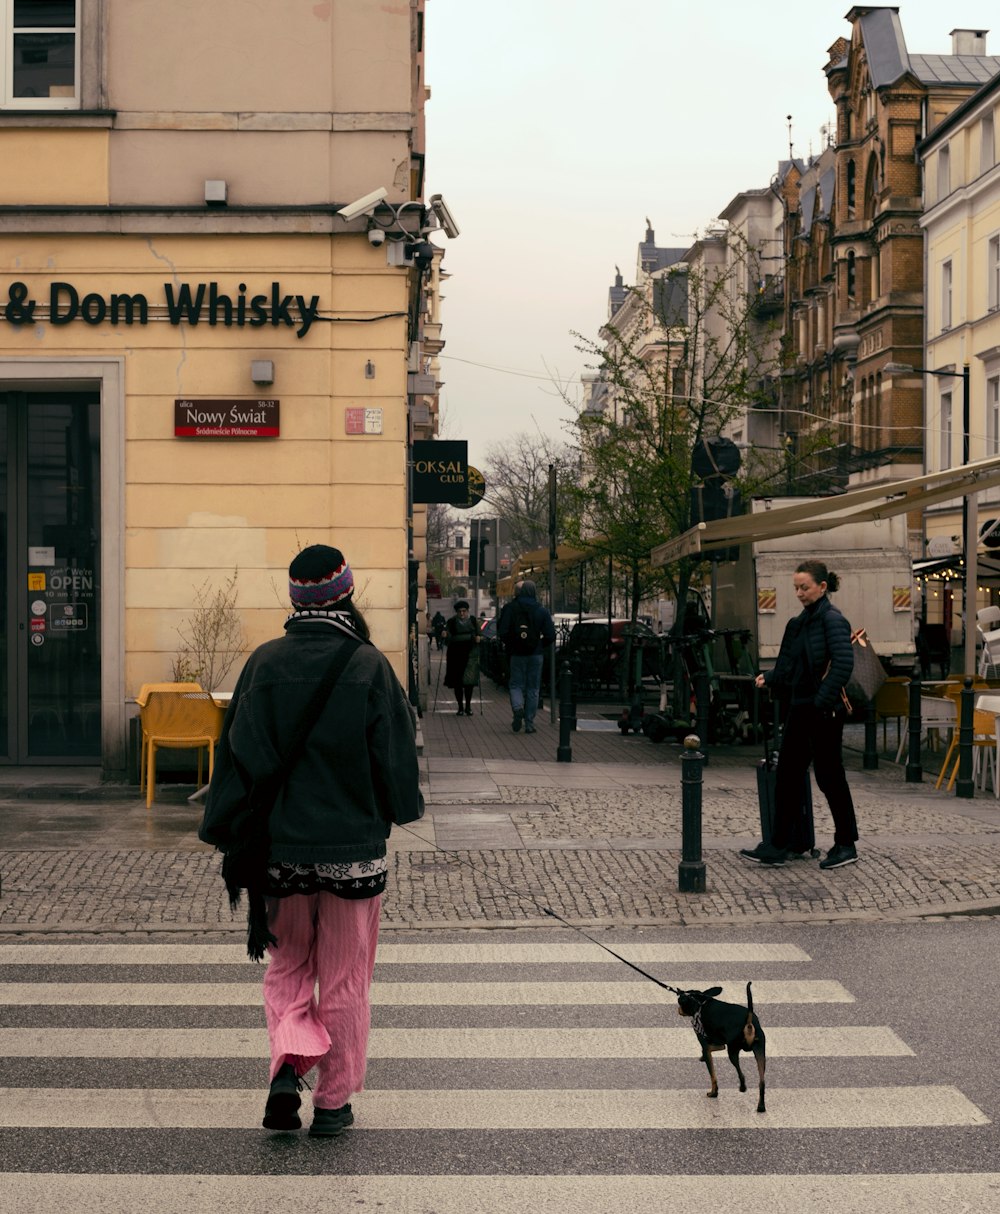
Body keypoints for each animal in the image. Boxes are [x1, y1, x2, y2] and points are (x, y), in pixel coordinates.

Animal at [669, 980, 766, 1112]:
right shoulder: (720, 1044)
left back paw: (742, 1087)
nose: (678, 1010)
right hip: (760, 1051)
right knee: (762, 1081)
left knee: (740, 1073)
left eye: (679, 1002)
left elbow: (712, 1075)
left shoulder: (708, 1043)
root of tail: (749, 1023)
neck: (700, 1003)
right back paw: (761, 1106)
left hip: (733, 1050)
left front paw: (713, 1092)